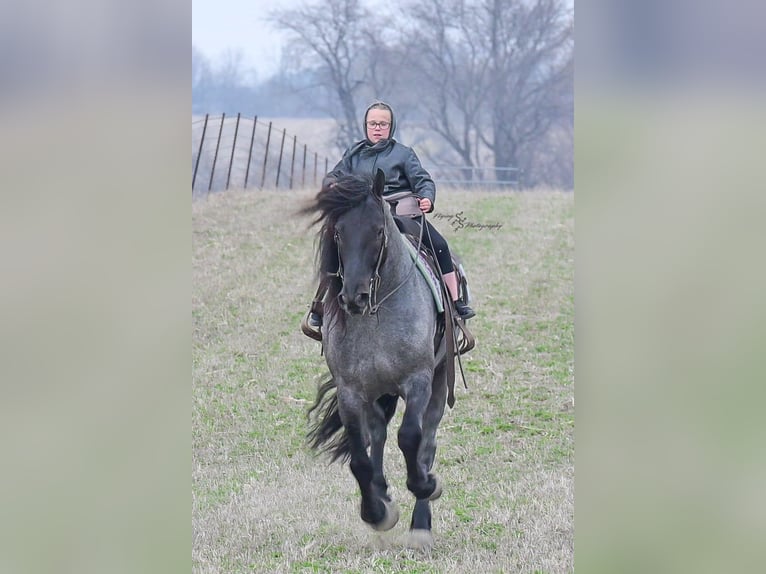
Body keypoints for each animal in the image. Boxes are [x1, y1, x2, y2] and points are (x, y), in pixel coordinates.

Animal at [300, 170, 451, 549]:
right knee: (379, 435)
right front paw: (376, 512)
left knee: (426, 440)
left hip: (440, 382)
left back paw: (421, 522)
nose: (354, 296)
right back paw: (382, 493)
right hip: (376, 393)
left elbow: (411, 439)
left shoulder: (418, 380)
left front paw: (426, 485)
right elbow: (359, 458)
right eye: (338, 232)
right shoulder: (351, 391)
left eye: (379, 231)